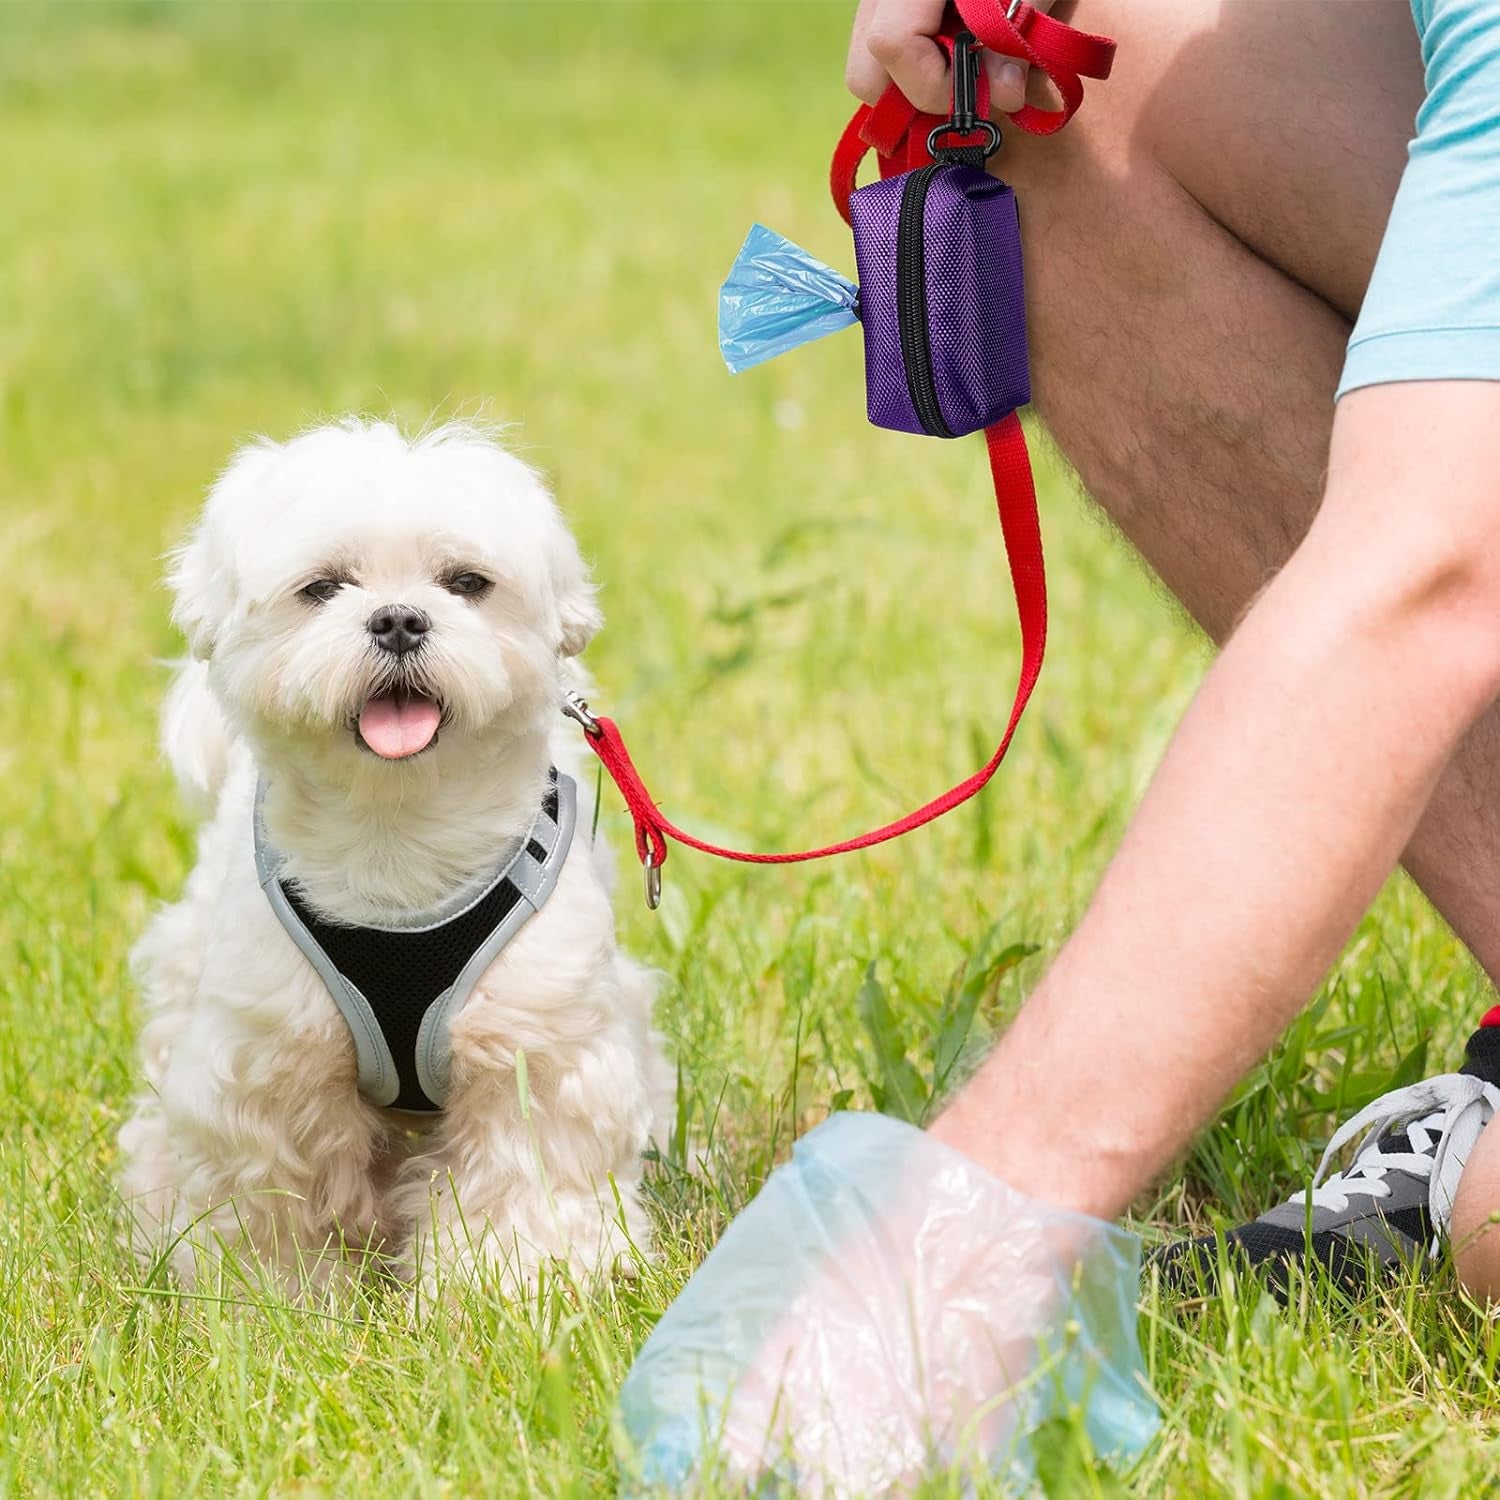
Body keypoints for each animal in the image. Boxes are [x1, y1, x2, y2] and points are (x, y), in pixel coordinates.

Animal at [120, 417, 672, 1296]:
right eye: (322, 588)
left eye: (466, 582)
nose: (400, 619)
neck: (398, 839)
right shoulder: (269, 1062)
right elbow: (274, 1195)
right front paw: (276, 1298)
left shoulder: (536, 1046)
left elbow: (523, 1178)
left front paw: (511, 1289)